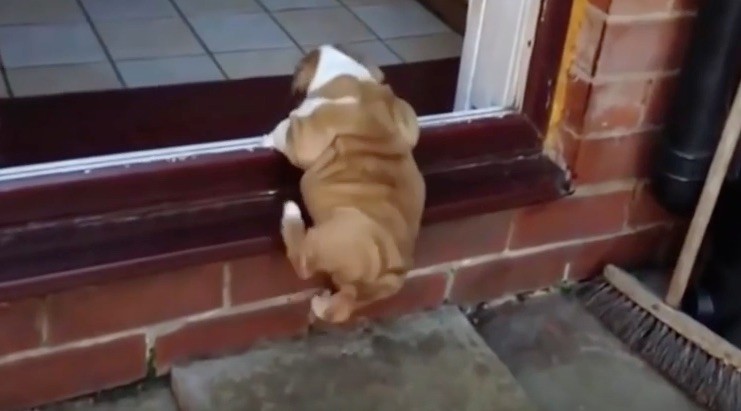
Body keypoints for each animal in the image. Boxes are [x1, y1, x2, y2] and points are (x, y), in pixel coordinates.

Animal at [264, 45, 424, 326]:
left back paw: (291, 215)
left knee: (305, 262)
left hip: (336, 234)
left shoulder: (307, 132)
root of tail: (392, 271)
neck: (349, 74)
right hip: (365, 289)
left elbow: (287, 129)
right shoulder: (405, 115)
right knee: (344, 305)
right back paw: (323, 305)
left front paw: (267, 137)